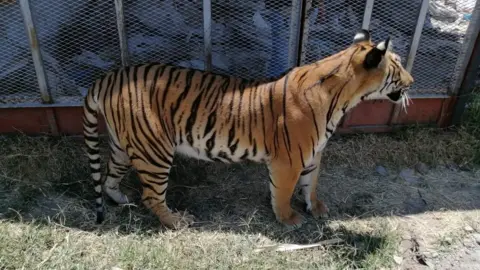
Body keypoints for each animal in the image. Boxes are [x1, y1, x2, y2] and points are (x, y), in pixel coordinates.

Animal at [81, 29, 412, 228]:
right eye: (397, 65)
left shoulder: (313, 154)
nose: (412, 82)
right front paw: (288, 219)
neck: (344, 99)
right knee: (151, 195)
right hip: (154, 151)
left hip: (125, 144)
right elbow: (283, 191)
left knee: (109, 176)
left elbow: (311, 183)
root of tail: (108, 77)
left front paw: (315, 207)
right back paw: (177, 221)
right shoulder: (288, 160)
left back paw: (120, 199)